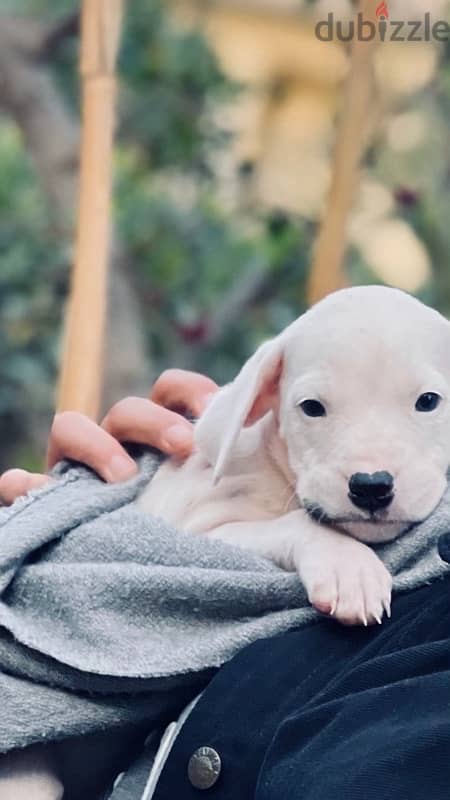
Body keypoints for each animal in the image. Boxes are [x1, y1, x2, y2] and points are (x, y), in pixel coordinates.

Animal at [139, 284, 450, 628]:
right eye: (312, 407)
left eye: (428, 401)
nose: (371, 487)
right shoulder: (201, 532)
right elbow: (295, 522)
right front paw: (348, 568)